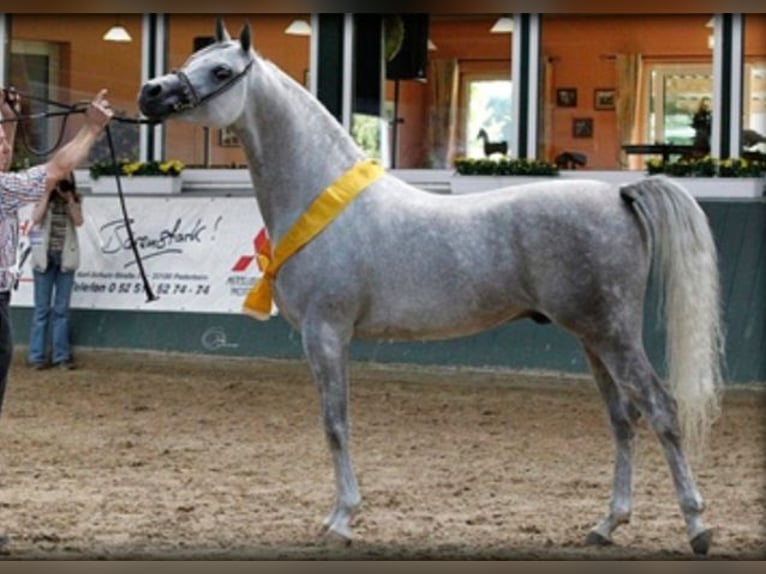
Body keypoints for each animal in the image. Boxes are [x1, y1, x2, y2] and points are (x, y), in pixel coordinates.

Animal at [138, 20, 724, 555]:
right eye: (190, 61)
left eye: (220, 71)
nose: (151, 93)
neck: (323, 199)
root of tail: (620, 194)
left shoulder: (325, 333)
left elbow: (335, 424)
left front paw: (341, 519)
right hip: (593, 338)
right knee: (623, 420)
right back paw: (607, 525)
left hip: (613, 335)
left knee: (661, 410)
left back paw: (697, 527)